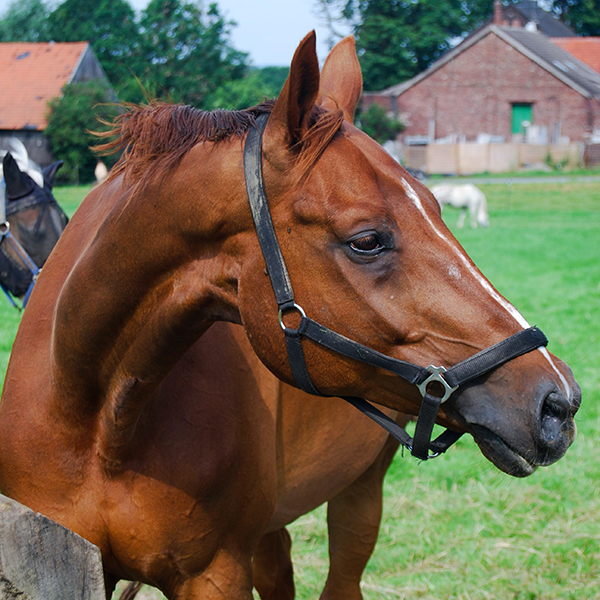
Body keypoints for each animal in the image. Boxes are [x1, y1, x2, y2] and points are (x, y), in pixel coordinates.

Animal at [0, 34, 580, 600]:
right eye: (366, 241)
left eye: (437, 209)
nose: (559, 402)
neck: (91, 420)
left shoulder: (215, 574)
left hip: (360, 492)